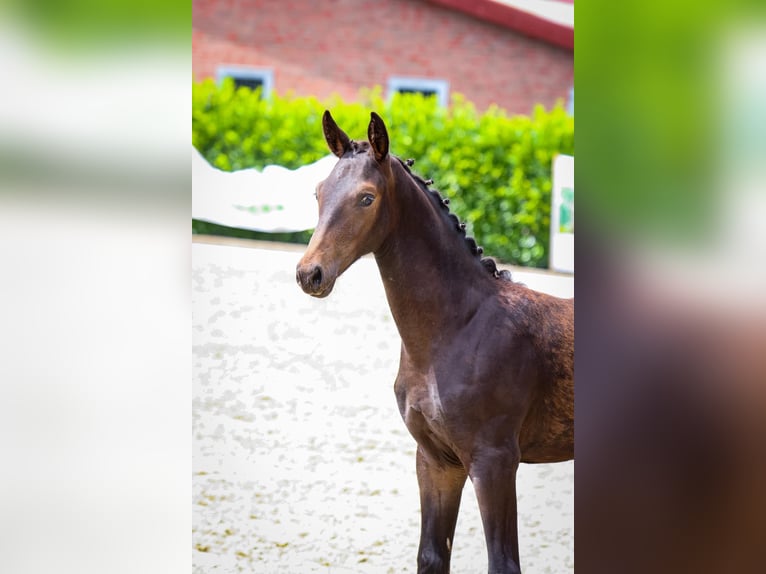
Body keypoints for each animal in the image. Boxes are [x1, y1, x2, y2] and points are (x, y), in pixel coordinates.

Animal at [296, 112, 572, 574]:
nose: (309, 274)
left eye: (367, 198)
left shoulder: (495, 462)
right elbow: (431, 556)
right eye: (318, 192)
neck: (456, 329)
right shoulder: (437, 460)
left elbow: (503, 563)